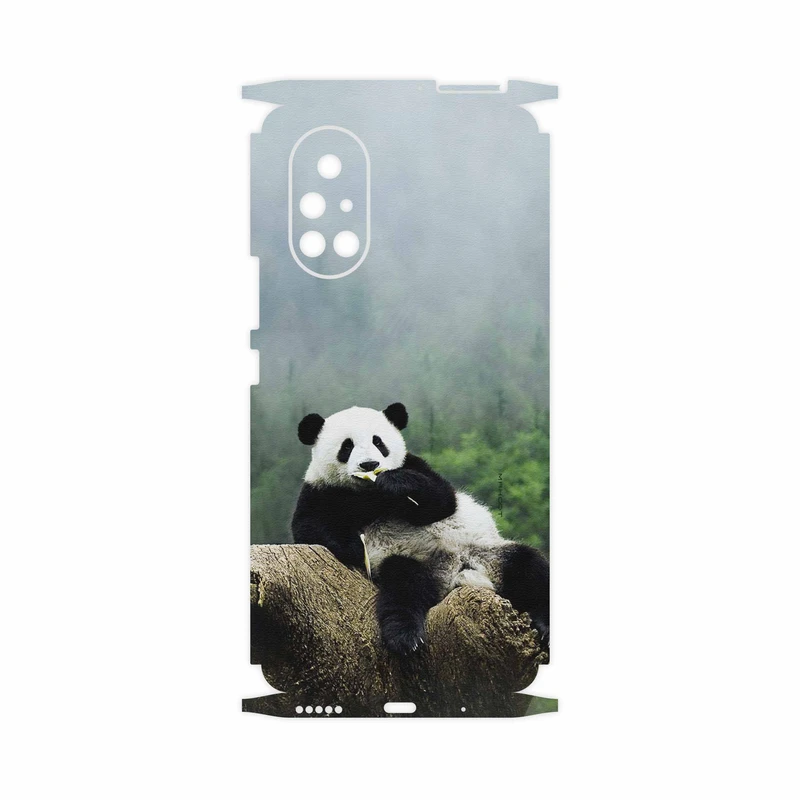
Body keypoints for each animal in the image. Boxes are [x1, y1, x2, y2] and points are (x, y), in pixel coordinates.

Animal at [292, 402, 550, 655]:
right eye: (347, 446)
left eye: (378, 442)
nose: (369, 465)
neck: (368, 493)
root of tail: (455, 573)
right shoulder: (321, 491)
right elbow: (309, 527)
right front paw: (354, 547)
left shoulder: (414, 465)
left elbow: (442, 500)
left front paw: (394, 483)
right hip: (411, 561)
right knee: (403, 588)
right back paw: (405, 637)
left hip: (488, 552)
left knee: (530, 567)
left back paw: (544, 625)